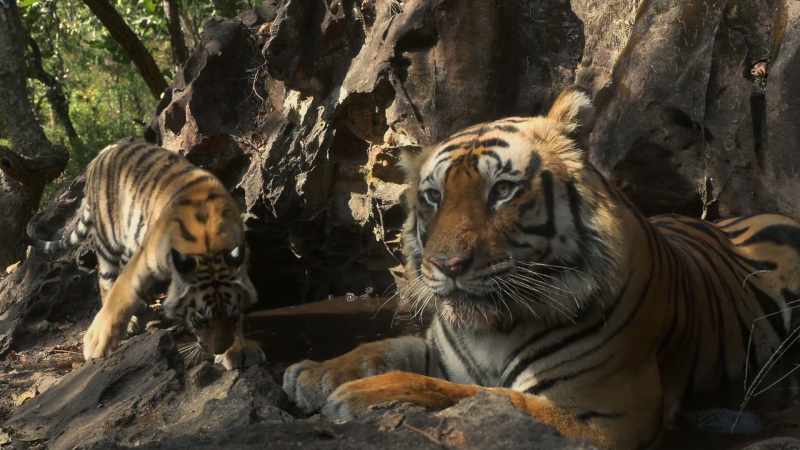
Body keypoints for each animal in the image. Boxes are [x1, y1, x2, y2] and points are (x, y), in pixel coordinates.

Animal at [31, 138, 265, 370]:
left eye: (231, 317)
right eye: (201, 320)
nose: (219, 348)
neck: (208, 244)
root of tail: (103, 152)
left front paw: (237, 349)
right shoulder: (143, 260)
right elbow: (120, 296)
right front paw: (96, 342)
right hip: (108, 240)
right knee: (106, 282)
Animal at [281, 89, 800, 449]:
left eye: (502, 190)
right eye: (434, 196)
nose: (447, 265)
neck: (492, 328)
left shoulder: (601, 413)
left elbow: (465, 392)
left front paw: (357, 396)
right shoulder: (440, 348)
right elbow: (384, 348)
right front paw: (313, 374)